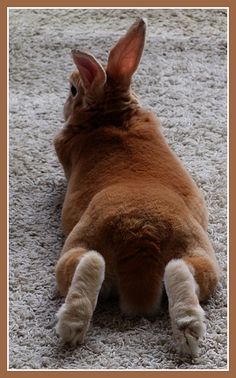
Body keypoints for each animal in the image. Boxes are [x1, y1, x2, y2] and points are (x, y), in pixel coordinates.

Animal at [53, 18, 219, 358]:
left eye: (73, 90)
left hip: (76, 247)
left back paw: (71, 326)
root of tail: (140, 235)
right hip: (202, 260)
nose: (65, 103)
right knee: (180, 273)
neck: (112, 114)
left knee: (86, 267)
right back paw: (188, 330)